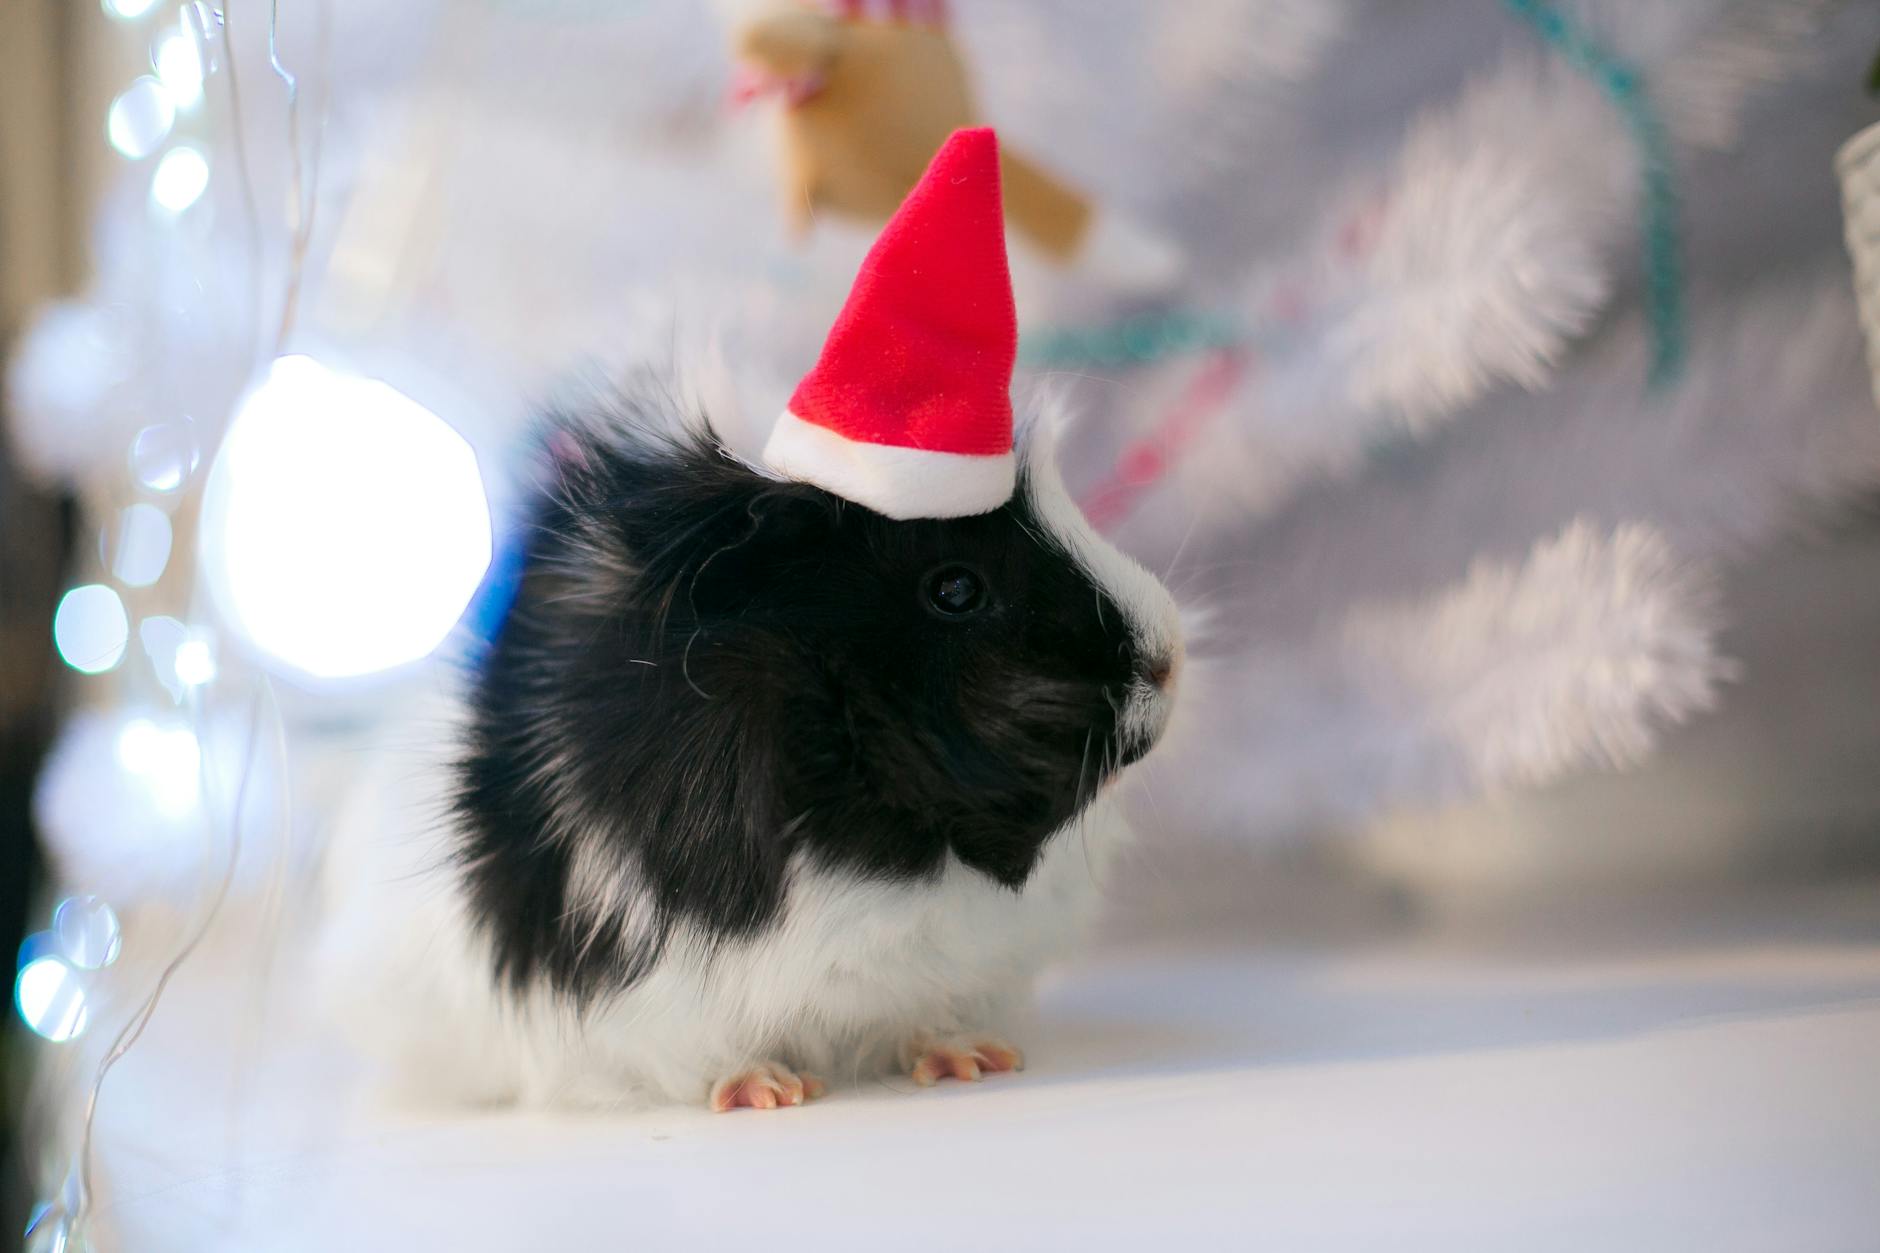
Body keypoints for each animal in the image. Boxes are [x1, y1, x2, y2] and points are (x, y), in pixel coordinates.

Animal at [316, 397, 1181, 1111]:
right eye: (955, 588)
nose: (1168, 660)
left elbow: (925, 1017)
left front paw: (971, 1061)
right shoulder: (647, 1000)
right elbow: (706, 1055)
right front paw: (770, 1092)